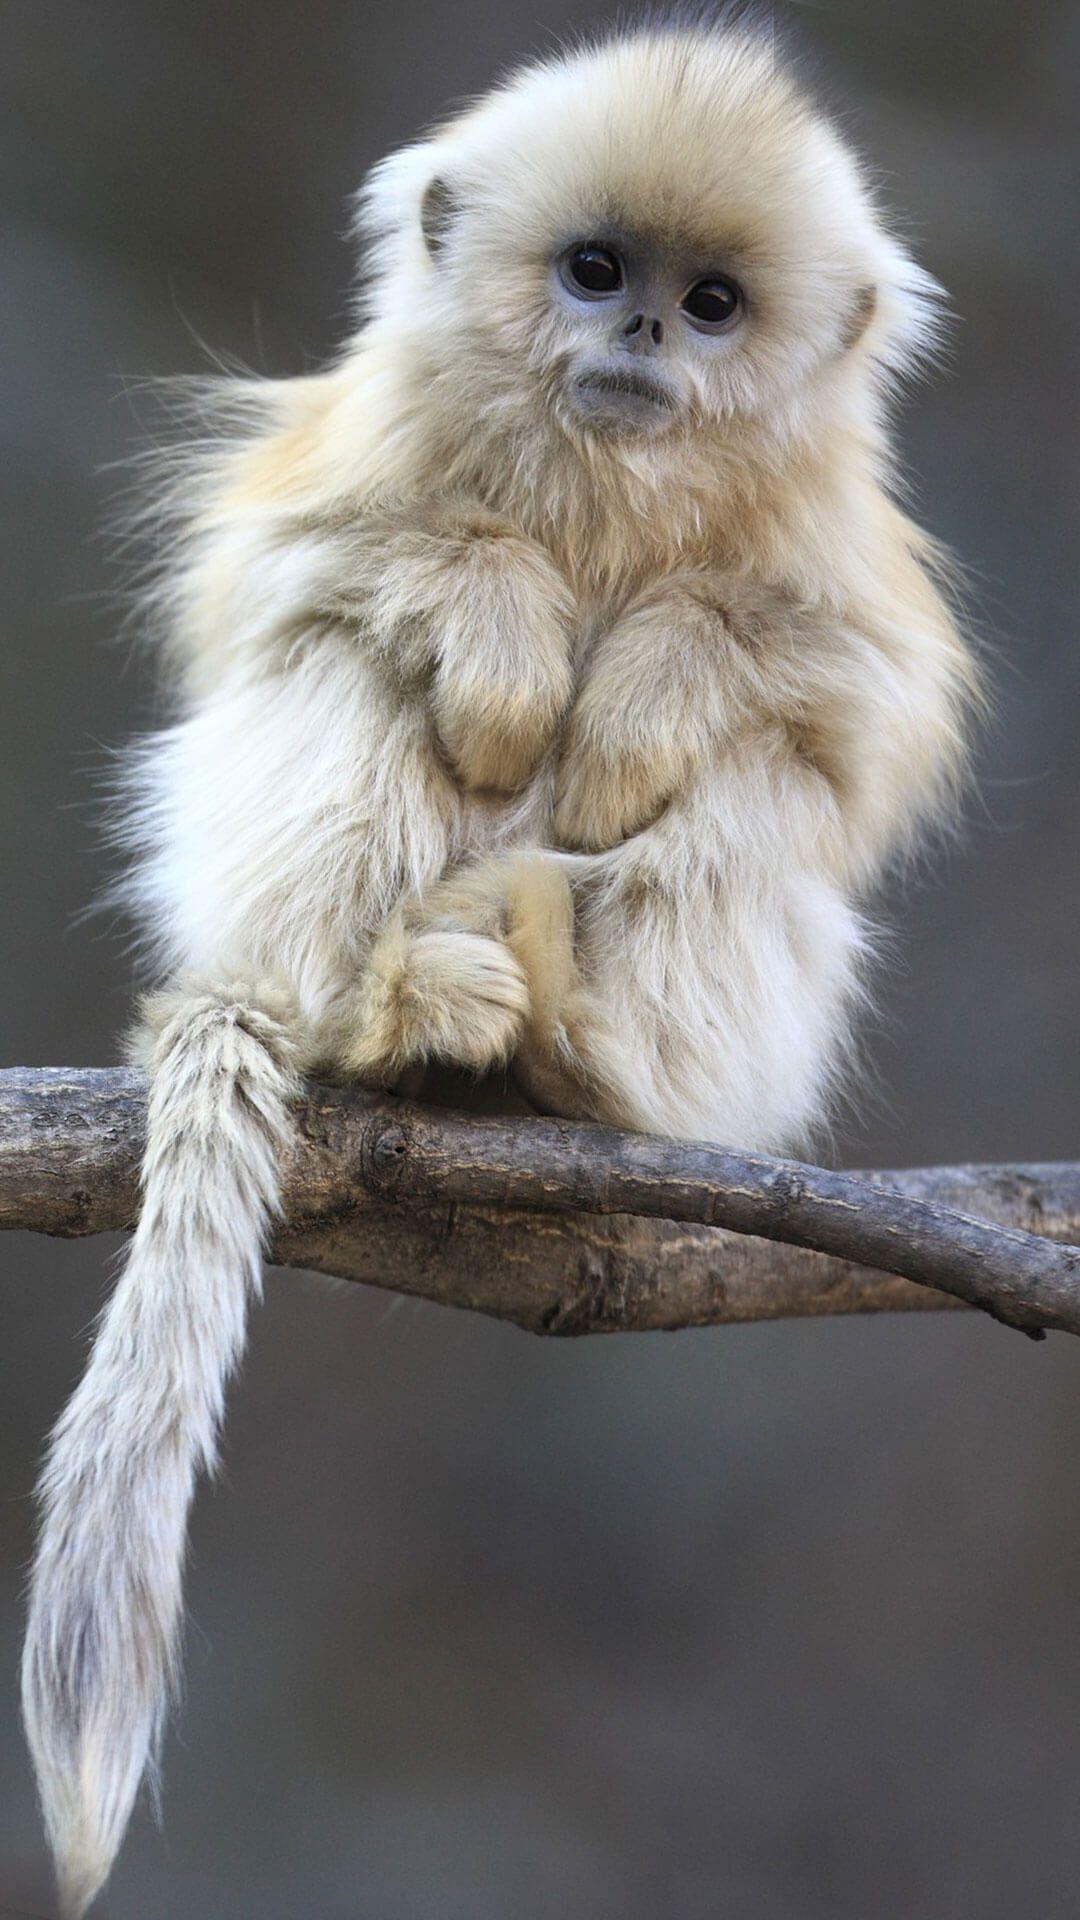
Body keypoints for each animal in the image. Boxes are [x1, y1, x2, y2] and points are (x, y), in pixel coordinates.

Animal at [20, 18, 977, 1914]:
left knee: (757, 786)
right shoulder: (346, 455)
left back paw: (574, 1044)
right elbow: (292, 577)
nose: (638, 338)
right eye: (596, 271)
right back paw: (393, 1013)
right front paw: (516, 637)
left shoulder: (845, 564)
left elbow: (842, 707)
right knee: (344, 665)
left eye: (711, 304)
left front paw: (638, 698)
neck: (605, 480)